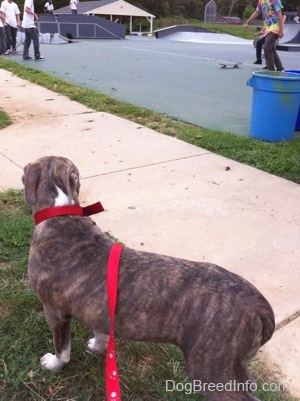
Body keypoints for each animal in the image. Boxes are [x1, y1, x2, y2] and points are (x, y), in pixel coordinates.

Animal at [22, 155, 276, 400]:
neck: (62, 212)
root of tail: (260, 306)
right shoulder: (98, 310)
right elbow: (101, 334)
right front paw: (96, 347)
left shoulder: (54, 311)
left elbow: (62, 348)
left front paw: (53, 364)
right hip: (235, 366)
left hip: (211, 367)